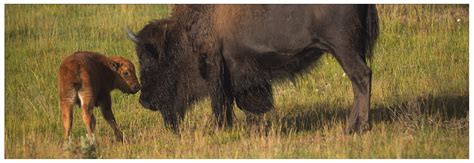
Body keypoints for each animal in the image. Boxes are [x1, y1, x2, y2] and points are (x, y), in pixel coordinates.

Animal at [126, 4, 378, 134]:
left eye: (149, 59)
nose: (144, 101)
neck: (185, 33)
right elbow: (236, 101)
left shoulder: (216, 69)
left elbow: (220, 102)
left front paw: (219, 129)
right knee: (360, 80)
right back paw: (354, 126)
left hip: (342, 48)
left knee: (361, 77)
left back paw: (356, 127)